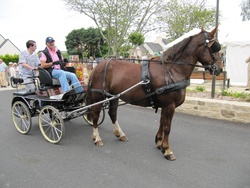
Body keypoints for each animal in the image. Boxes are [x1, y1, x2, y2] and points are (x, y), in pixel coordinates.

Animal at [84, 27, 223, 161]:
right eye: (214, 47)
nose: (220, 69)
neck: (171, 70)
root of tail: (98, 66)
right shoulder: (169, 105)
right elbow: (167, 127)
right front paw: (167, 150)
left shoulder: (165, 105)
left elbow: (161, 123)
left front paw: (159, 143)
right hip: (99, 96)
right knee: (95, 115)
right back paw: (97, 138)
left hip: (114, 96)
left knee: (112, 114)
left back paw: (120, 134)